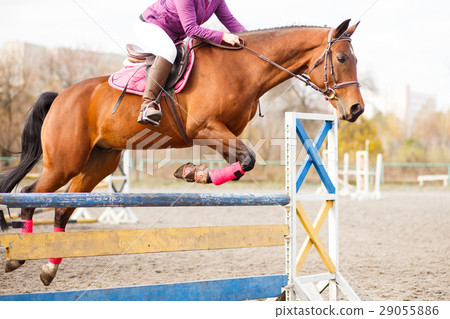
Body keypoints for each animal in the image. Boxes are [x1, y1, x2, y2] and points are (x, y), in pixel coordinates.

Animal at [0, 18, 364, 286]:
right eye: (342, 59)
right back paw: (19, 255)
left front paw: (193, 172)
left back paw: (48, 268)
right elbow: (248, 159)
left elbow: (243, 163)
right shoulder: (205, 129)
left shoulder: (223, 135)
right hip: (64, 162)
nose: (356, 109)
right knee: (31, 194)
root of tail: (61, 96)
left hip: (98, 163)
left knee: (62, 208)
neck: (244, 68)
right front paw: (191, 171)